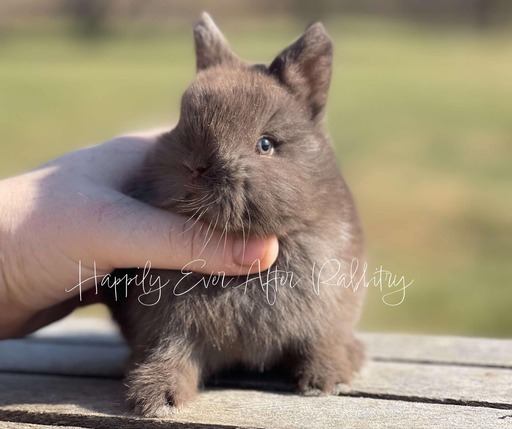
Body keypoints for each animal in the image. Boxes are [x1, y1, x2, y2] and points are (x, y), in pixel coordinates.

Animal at [106, 11, 366, 416]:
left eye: (266, 144)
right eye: (180, 123)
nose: (196, 167)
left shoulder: (326, 313)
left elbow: (319, 342)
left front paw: (327, 381)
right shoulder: (167, 327)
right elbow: (170, 352)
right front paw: (156, 397)